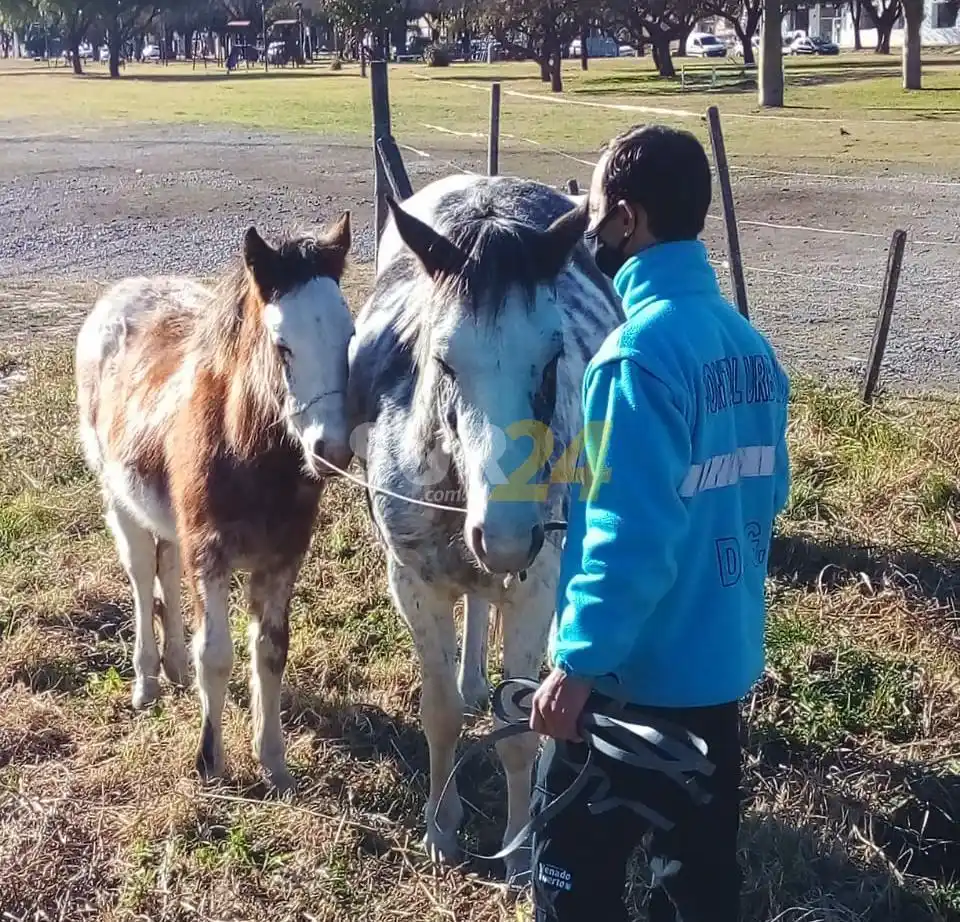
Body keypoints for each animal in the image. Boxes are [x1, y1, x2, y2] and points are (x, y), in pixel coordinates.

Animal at [75, 212, 355, 791]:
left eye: (349, 338)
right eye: (282, 345)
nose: (333, 451)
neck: (242, 447)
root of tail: (118, 294)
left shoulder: (281, 559)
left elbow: (271, 651)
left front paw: (274, 765)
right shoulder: (211, 554)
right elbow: (217, 655)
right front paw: (209, 761)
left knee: (166, 564)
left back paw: (175, 669)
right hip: (120, 501)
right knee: (143, 576)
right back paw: (147, 683)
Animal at [346, 174, 624, 879]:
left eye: (552, 358)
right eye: (444, 362)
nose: (505, 538)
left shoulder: (534, 586)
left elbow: (523, 733)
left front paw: (522, 849)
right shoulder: (414, 584)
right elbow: (440, 713)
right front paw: (440, 830)